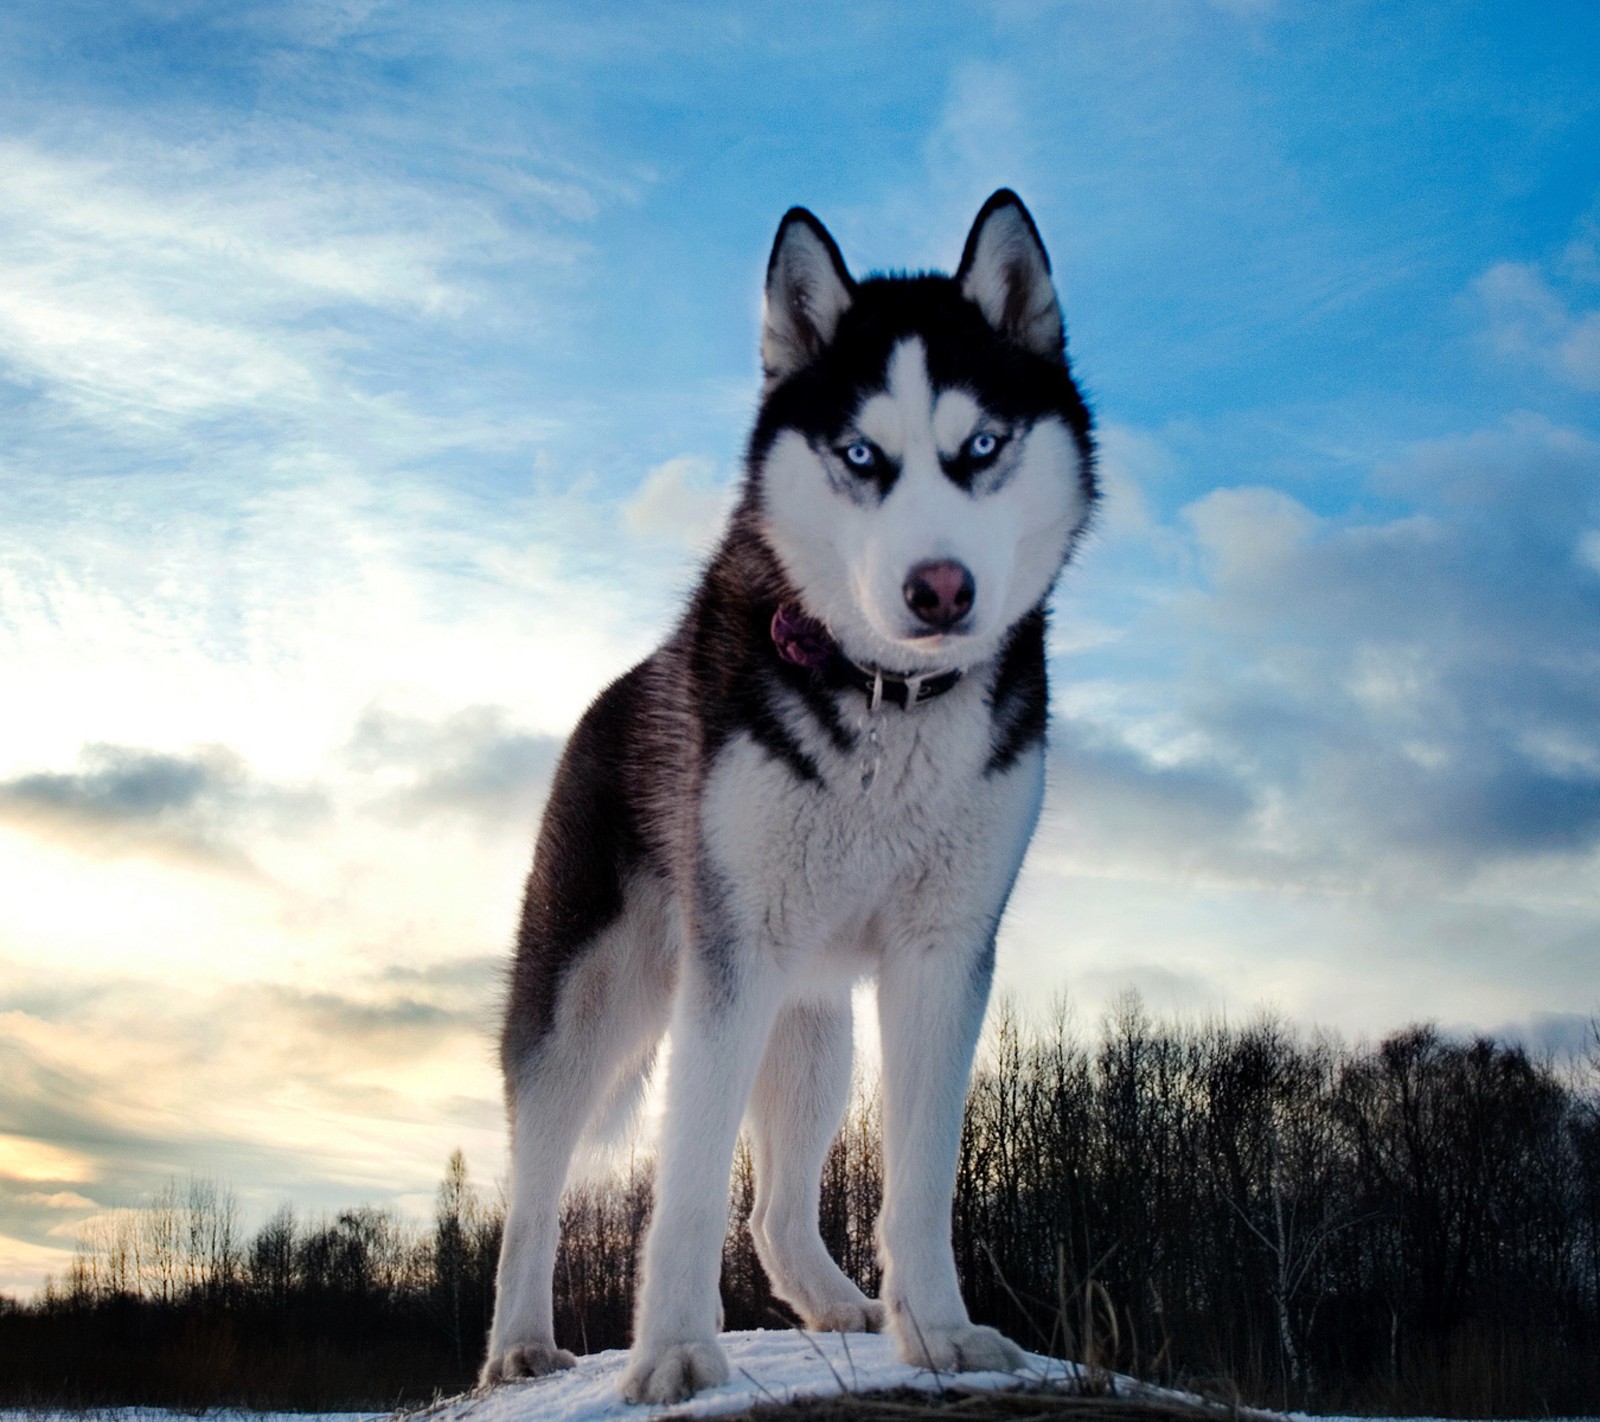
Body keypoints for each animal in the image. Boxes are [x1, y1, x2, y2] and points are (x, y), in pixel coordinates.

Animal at [480, 194, 1094, 1401]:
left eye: (982, 447)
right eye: (861, 454)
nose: (940, 588)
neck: (887, 701)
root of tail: (609, 695)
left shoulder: (943, 956)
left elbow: (920, 1181)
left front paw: (938, 1335)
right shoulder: (732, 962)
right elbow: (683, 1184)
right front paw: (674, 1350)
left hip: (811, 1029)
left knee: (771, 1208)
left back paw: (836, 1304)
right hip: (594, 1001)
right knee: (535, 1184)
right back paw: (520, 1343)